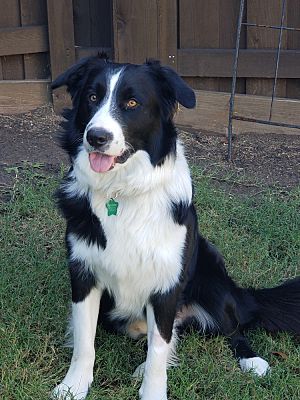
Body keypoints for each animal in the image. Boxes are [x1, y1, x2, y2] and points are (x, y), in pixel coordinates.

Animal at [52, 54, 300, 400]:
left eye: (131, 102)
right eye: (91, 97)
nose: (96, 137)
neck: (122, 193)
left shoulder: (167, 283)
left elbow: (159, 347)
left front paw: (153, 390)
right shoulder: (83, 273)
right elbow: (84, 341)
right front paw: (73, 386)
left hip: (210, 274)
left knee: (229, 327)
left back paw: (251, 360)